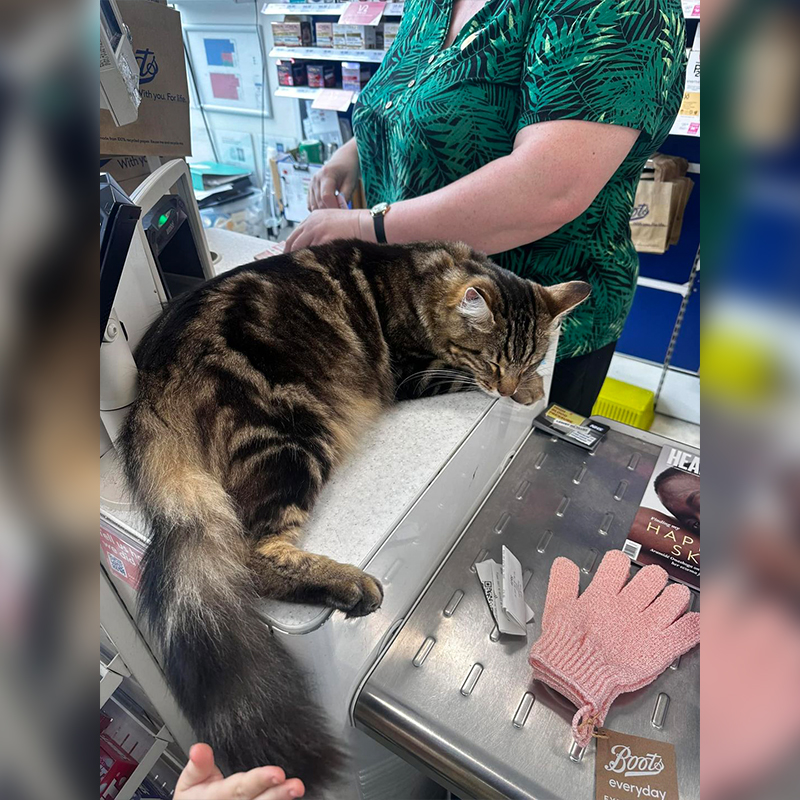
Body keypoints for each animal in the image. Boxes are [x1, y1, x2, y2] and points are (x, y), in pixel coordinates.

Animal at [119, 241, 592, 792]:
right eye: (491, 359)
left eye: (532, 355)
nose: (510, 384)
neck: (424, 277)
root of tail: (152, 381)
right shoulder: (416, 372)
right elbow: (457, 375)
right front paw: (527, 390)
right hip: (296, 434)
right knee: (253, 555)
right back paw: (350, 584)